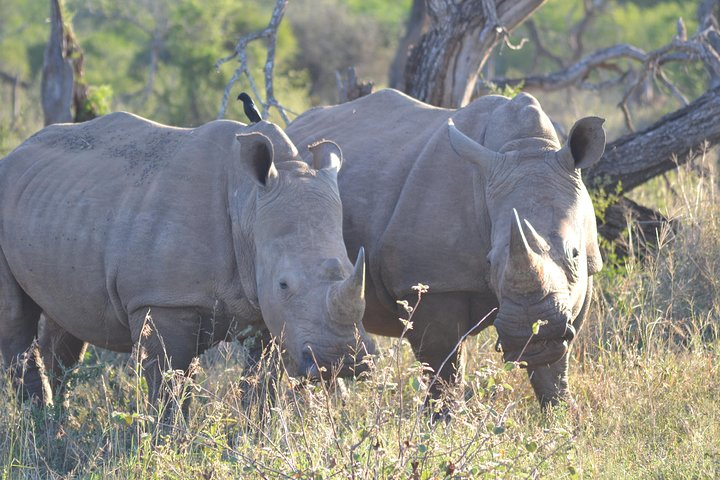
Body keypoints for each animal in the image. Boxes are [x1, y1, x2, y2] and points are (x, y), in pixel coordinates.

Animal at [2, 112, 376, 408]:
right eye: (283, 284)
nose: (342, 362)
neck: (248, 204)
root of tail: (16, 151)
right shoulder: (163, 300)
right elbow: (169, 383)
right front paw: (166, 444)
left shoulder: (270, 312)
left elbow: (260, 383)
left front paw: (250, 436)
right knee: (16, 321)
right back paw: (40, 424)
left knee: (65, 320)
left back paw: (54, 426)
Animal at [290, 89, 604, 404]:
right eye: (490, 262)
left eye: (574, 254)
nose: (530, 332)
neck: (526, 147)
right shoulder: (433, 283)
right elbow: (444, 371)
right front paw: (442, 416)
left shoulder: (586, 273)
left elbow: (553, 373)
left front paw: (560, 409)